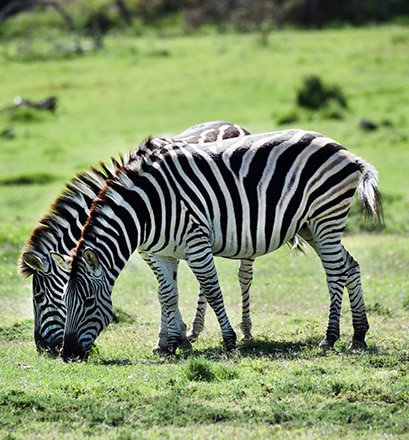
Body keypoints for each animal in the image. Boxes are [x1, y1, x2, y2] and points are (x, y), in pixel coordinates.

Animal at [17, 121, 253, 354]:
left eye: (39, 297)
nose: (42, 347)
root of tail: (232, 124)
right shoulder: (151, 249)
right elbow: (165, 291)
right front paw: (173, 338)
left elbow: (165, 291)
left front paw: (174, 338)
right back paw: (196, 330)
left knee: (244, 276)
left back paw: (245, 331)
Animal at [60, 128, 382, 360]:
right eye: (63, 301)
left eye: (88, 302)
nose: (67, 354)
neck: (147, 209)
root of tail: (343, 150)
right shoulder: (162, 253)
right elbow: (167, 295)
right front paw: (167, 344)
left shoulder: (195, 242)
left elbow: (213, 292)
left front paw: (228, 341)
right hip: (311, 226)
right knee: (350, 266)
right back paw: (358, 336)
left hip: (326, 218)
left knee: (335, 272)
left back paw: (330, 337)